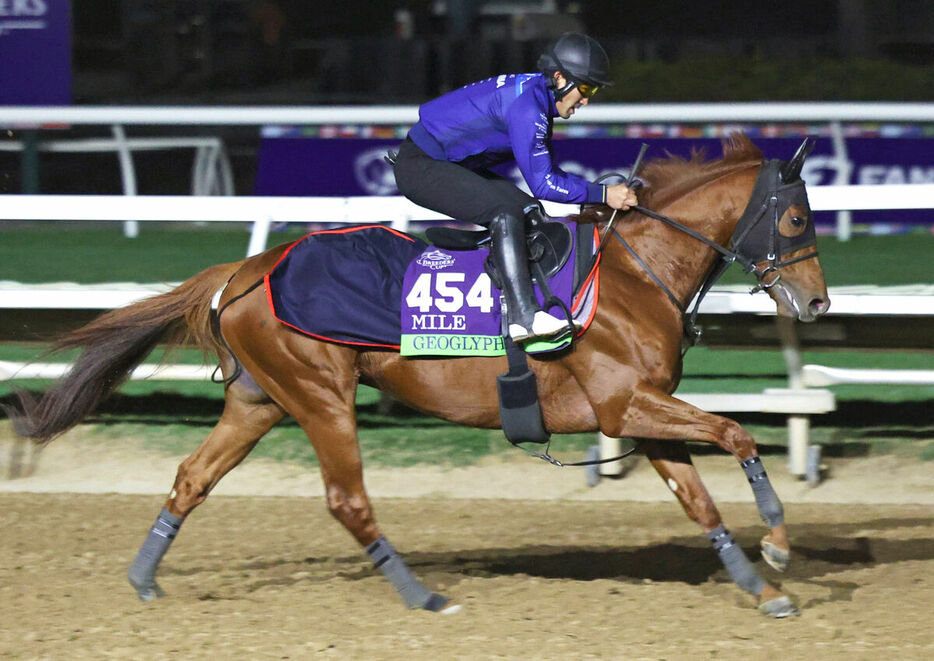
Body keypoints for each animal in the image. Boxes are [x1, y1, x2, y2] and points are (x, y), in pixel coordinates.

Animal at [5, 134, 828, 620]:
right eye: (795, 220)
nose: (817, 302)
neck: (632, 272)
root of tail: (243, 270)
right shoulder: (628, 402)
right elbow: (737, 433)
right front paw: (779, 547)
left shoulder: (638, 409)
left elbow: (698, 498)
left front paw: (761, 585)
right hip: (320, 393)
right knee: (347, 500)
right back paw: (422, 594)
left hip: (259, 400)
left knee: (192, 476)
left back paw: (145, 577)